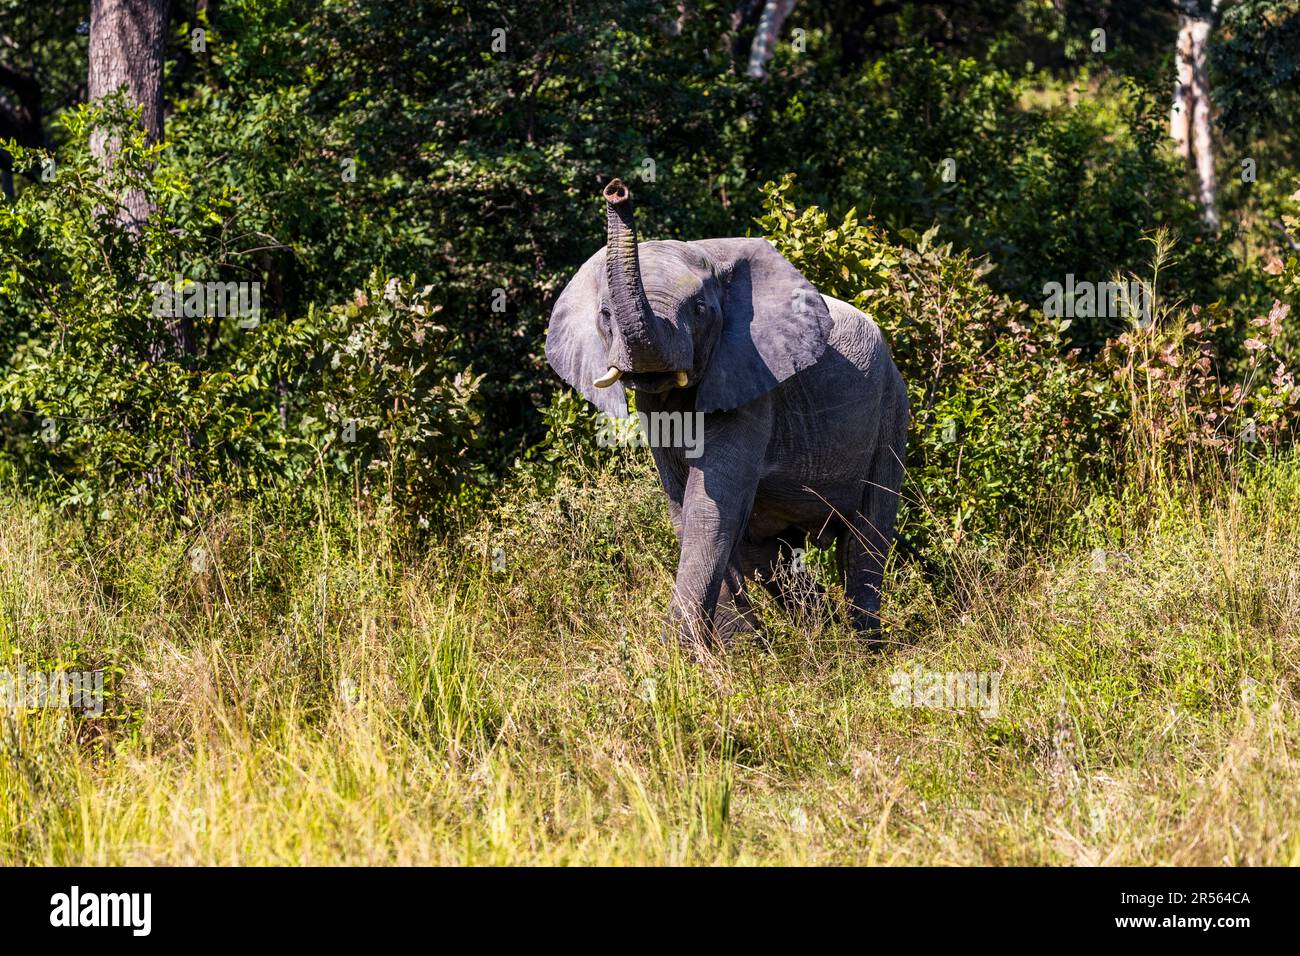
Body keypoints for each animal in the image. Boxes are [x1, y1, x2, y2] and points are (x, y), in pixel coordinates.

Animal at [546, 178, 908, 647]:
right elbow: (686, 508)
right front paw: (736, 648)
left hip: (891, 409)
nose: (617, 192)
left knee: (865, 539)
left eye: (700, 310)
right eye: (605, 315)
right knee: (770, 555)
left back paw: (864, 649)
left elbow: (711, 504)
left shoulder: (752, 381)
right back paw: (818, 638)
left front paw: (683, 653)